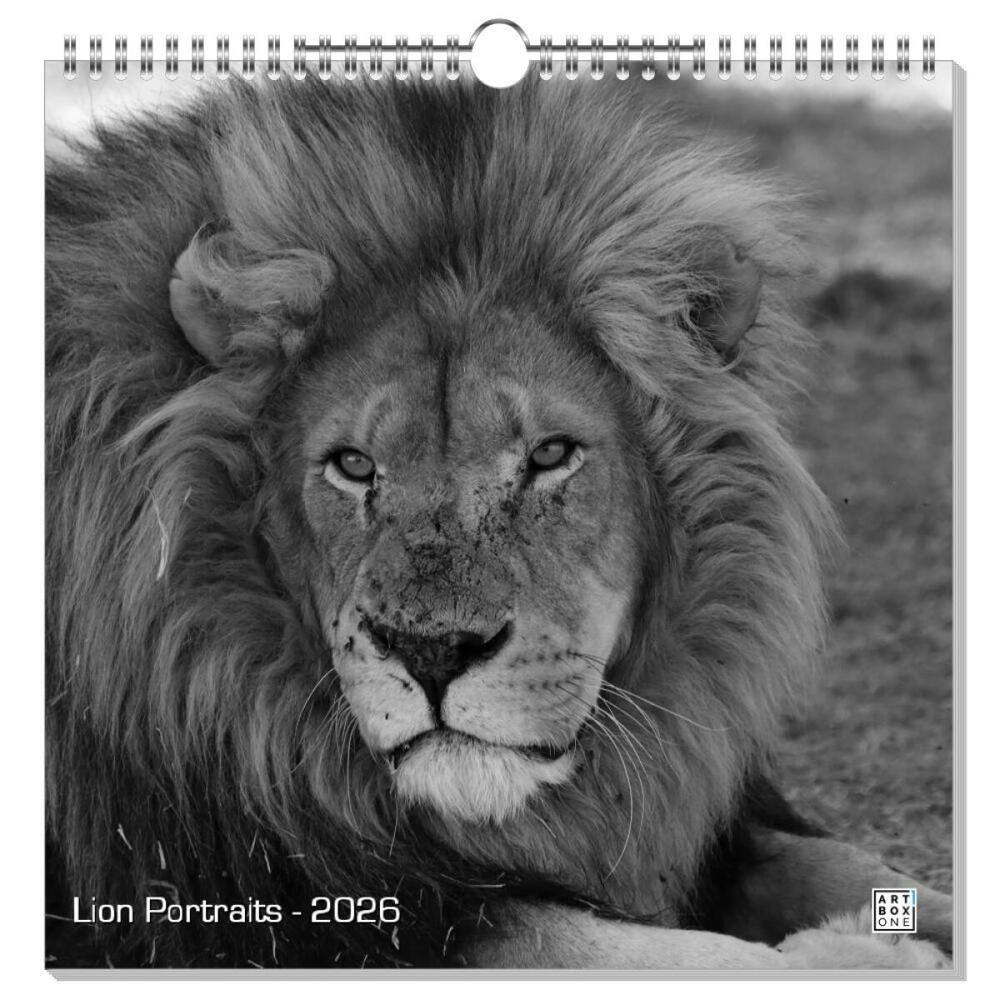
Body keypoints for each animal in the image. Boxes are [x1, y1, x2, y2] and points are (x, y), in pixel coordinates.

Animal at [45, 74, 952, 970]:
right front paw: (875, 956)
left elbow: (851, 865)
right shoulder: (305, 911)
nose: (433, 653)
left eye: (550, 455)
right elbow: (643, 948)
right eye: (353, 465)